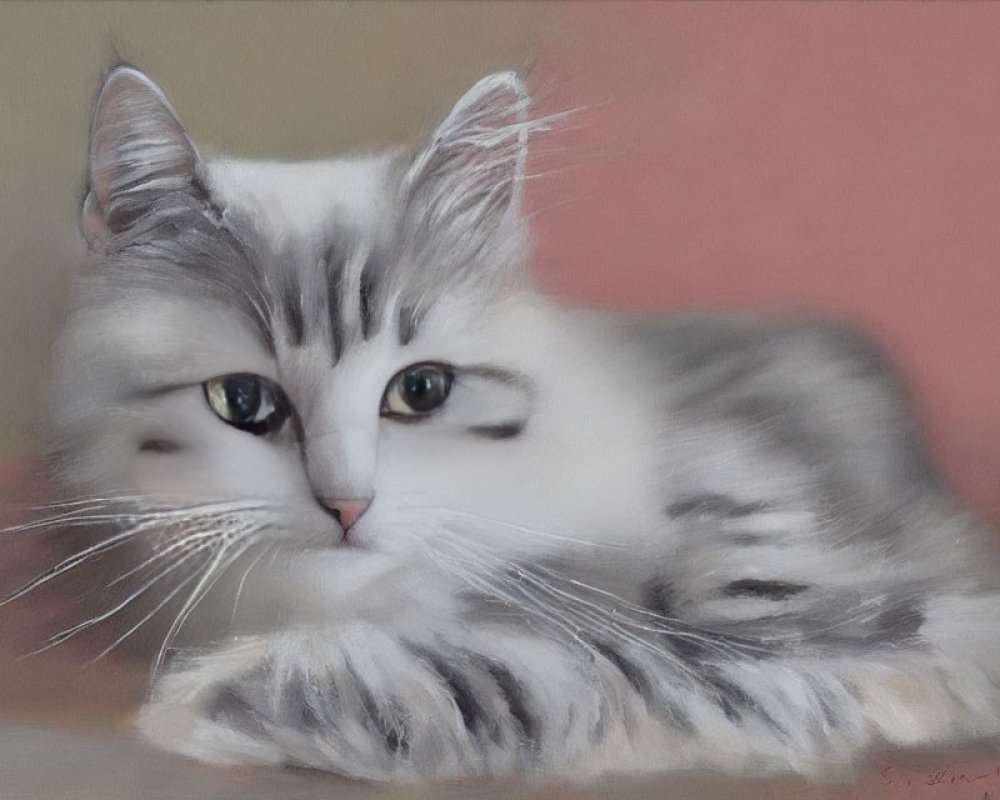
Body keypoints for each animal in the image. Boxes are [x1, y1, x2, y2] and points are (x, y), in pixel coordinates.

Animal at [29, 64, 1000, 780]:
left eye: (420, 391)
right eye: (243, 402)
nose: (347, 505)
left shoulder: (823, 647)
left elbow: (536, 668)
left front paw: (213, 698)